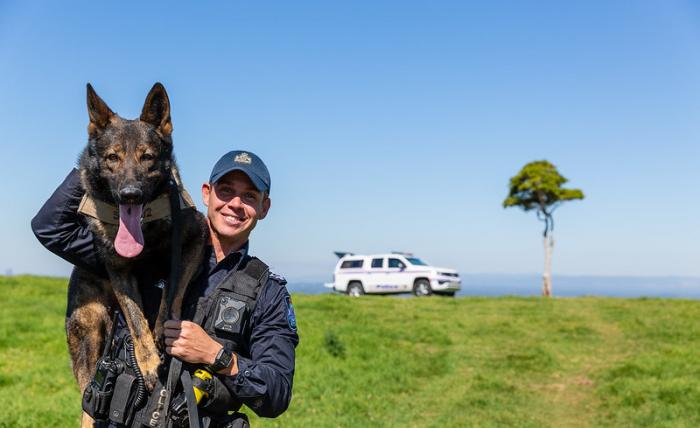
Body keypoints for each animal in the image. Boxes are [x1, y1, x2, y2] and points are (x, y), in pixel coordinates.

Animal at [67, 84, 206, 428]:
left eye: (148, 158)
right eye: (113, 158)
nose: (130, 194)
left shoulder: (195, 239)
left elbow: (172, 291)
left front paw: (163, 331)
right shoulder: (117, 268)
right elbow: (134, 317)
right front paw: (147, 361)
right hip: (90, 323)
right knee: (86, 400)